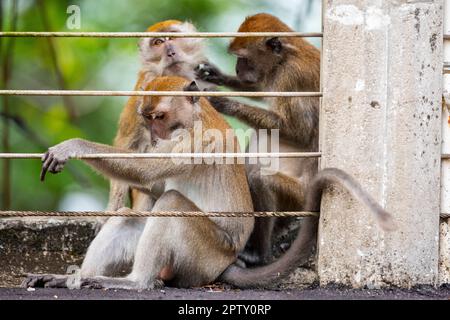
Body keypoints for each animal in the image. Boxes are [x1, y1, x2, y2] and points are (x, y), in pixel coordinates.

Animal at [24, 77, 255, 290]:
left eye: (160, 116)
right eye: (147, 118)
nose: (154, 137)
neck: (195, 117)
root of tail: (227, 261)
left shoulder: (196, 140)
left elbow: (147, 170)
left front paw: (75, 146)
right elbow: (153, 182)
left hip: (205, 258)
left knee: (172, 202)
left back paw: (136, 282)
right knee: (128, 217)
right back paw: (76, 278)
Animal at [197, 13, 320, 264]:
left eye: (243, 58)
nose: (237, 69)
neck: (284, 59)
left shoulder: (290, 78)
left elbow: (301, 131)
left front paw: (226, 104)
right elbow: (261, 88)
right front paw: (217, 75)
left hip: (300, 196)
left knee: (261, 178)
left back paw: (260, 253)